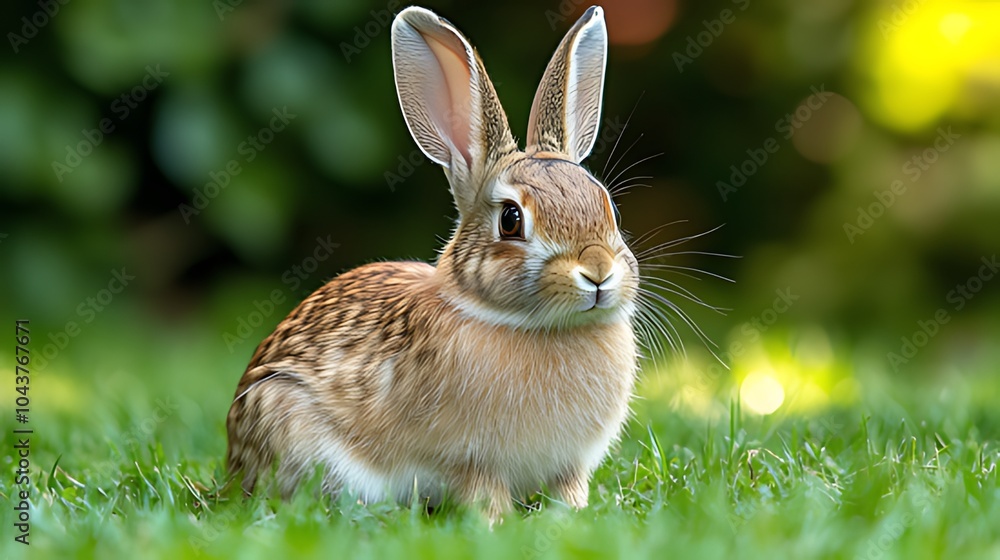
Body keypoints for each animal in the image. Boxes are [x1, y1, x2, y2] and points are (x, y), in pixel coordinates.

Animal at [226, 5, 639, 523]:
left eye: (611, 210)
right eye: (511, 220)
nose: (599, 272)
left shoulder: (569, 467)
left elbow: (568, 492)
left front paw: (575, 516)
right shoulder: (472, 462)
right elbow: (484, 494)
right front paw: (496, 525)